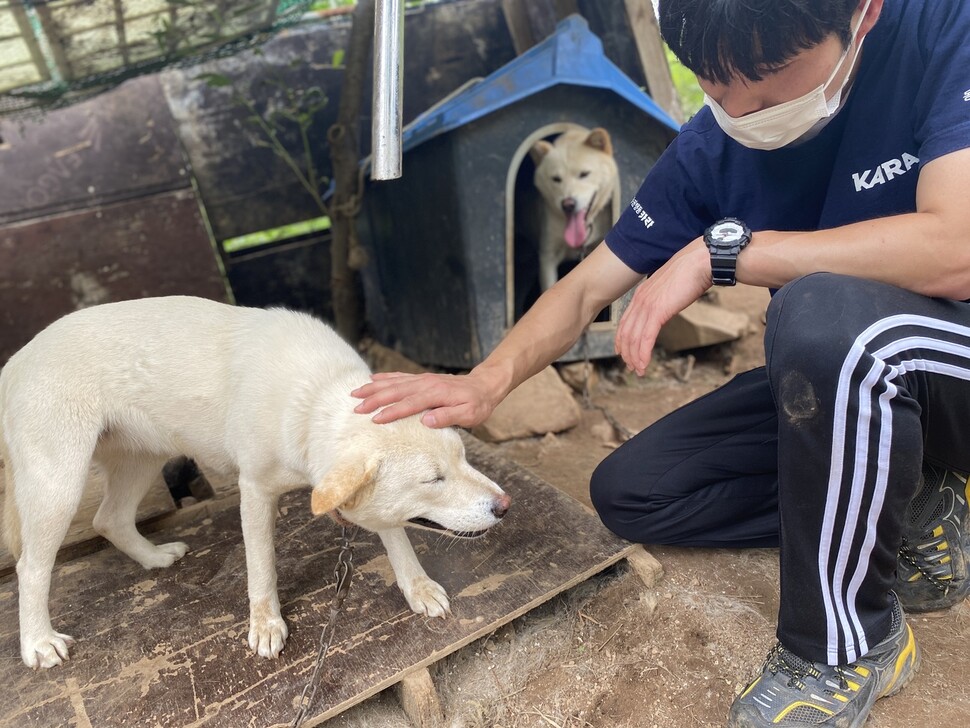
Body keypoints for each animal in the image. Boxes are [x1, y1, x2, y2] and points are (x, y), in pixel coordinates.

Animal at [0, 294, 510, 664]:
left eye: (463, 457)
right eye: (433, 480)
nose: (505, 506)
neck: (313, 397)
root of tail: (14, 362)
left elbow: (397, 538)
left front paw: (417, 588)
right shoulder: (255, 491)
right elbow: (261, 566)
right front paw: (266, 625)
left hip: (143, 458)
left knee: (109, 519)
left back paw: (154, 557)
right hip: (60, 484)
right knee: (32, 567)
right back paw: (38, 642)